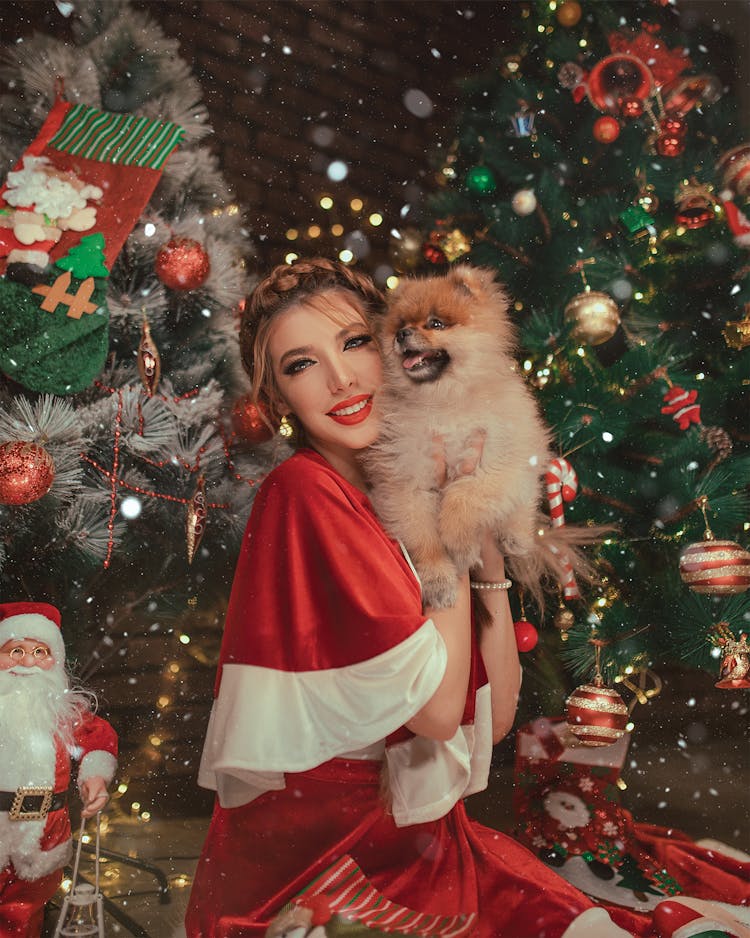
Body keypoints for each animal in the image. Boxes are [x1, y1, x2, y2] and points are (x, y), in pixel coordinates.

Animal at [366, 266, 592, 612]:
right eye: (400, 324)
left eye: (436, 323)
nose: (401, 335)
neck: (445, 401)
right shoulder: (406, 481)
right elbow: (424, 540)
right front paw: (439, 580)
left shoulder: (500, 462)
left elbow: (462, 498)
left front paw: (460, 546)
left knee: (524, 504)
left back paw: (516, 536)